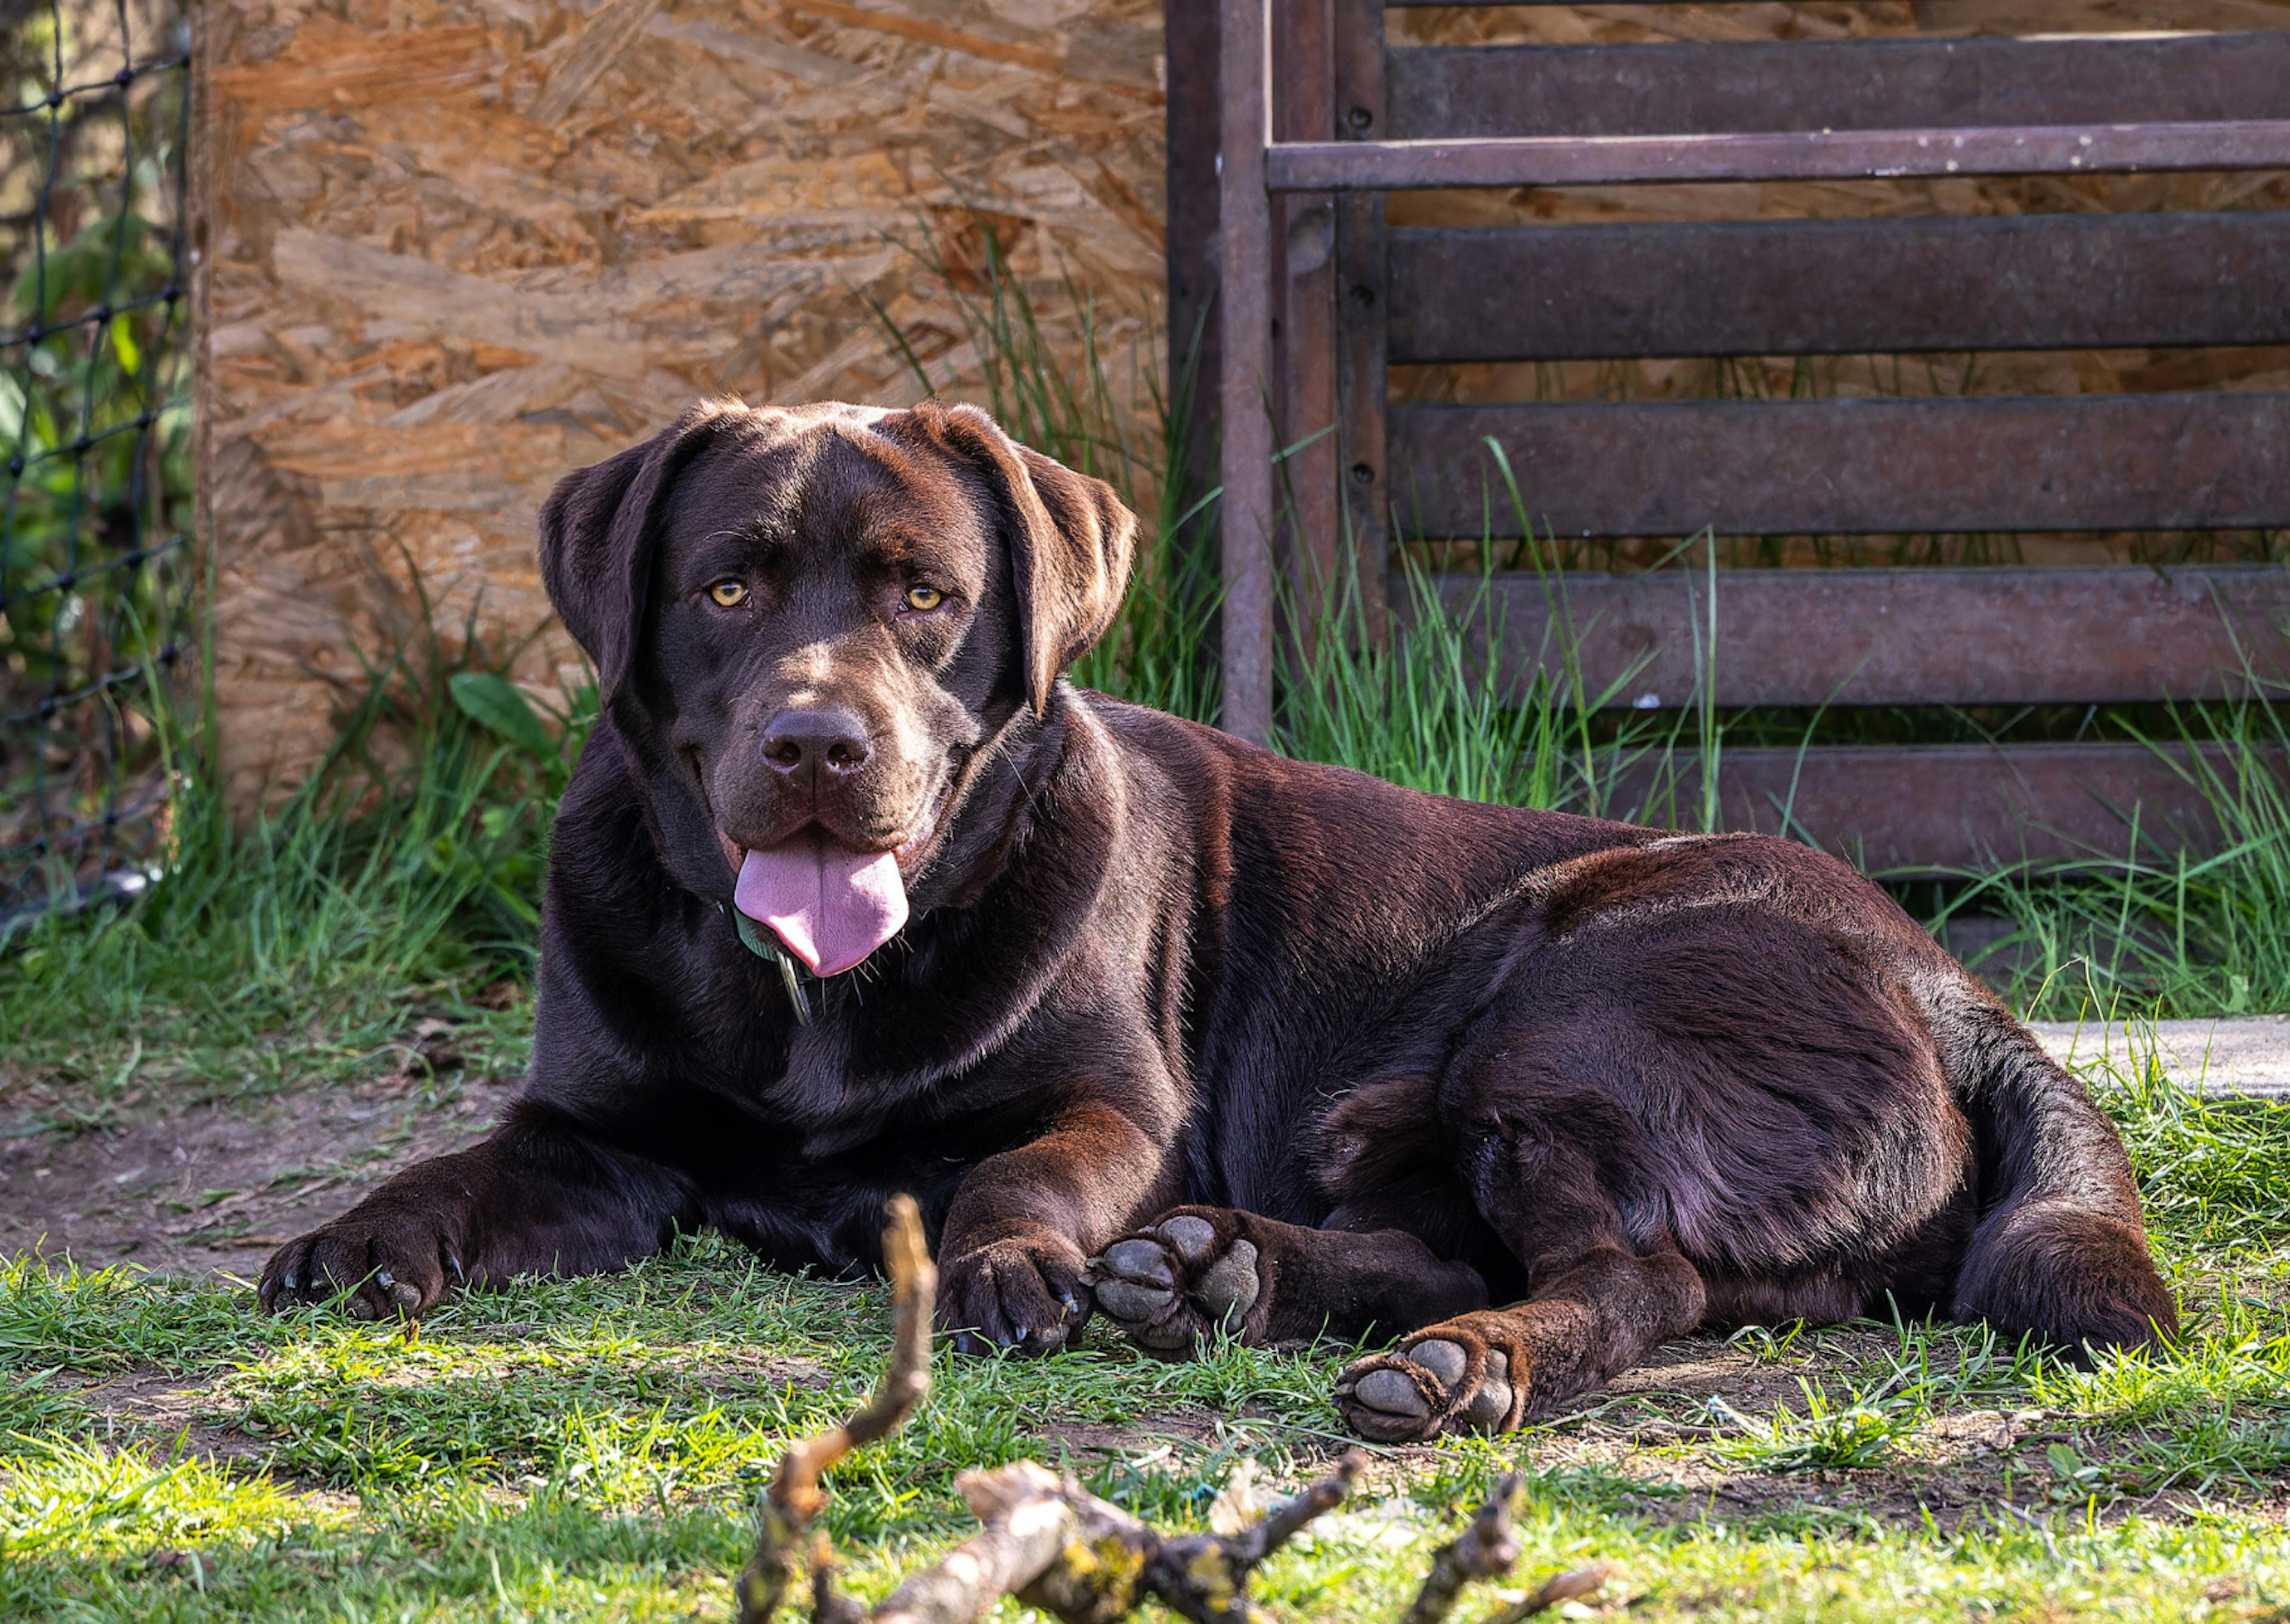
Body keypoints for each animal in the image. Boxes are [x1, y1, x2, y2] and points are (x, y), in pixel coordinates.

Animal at [259, 398, 2171, 1438]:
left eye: (928, 597)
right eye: (725, 587)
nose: (817, 744)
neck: (816, 1006)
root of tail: (1957, 993)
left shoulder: (1114, 1106)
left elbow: (1021, 1175)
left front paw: (1014, 1267)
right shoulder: (595, 1131)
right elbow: (463, 1165)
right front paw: (358, 1235)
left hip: (1566, 1010)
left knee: (1623, 1279)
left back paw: (1445, 1371)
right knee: (1449, 1244)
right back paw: (1212, 1274)